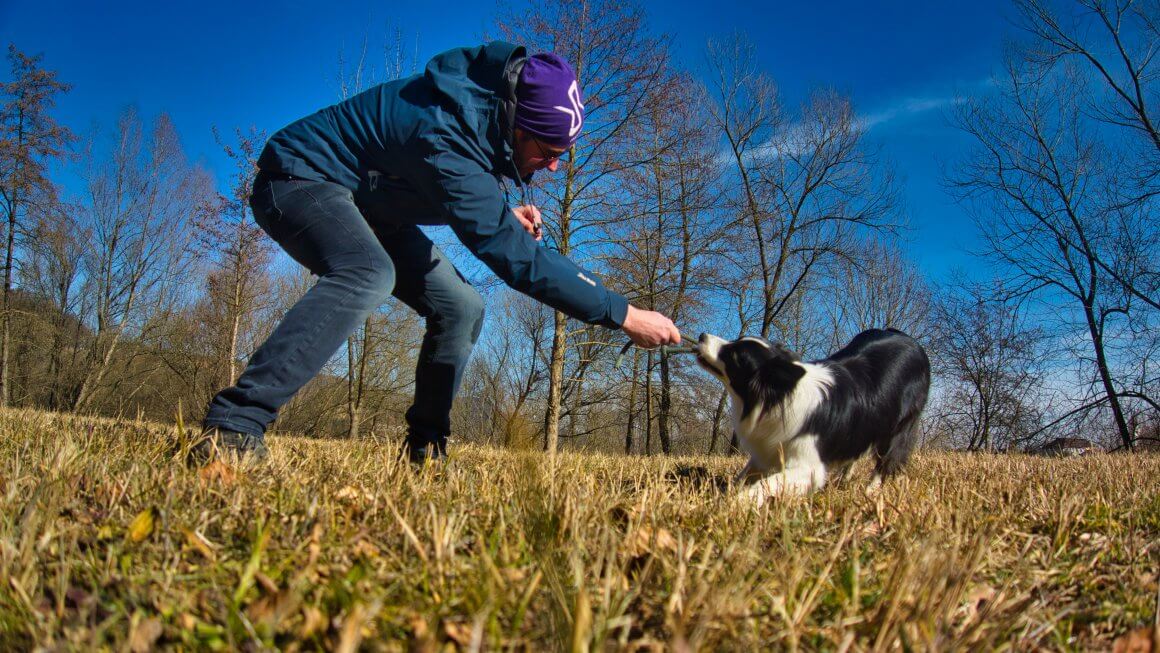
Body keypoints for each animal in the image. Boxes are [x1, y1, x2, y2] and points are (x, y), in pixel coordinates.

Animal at [691, 329, 928, 503]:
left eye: (734, 356)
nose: (702, 335)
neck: (779, 396)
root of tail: (913, 343)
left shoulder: (809, 466)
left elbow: (769, 482)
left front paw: (736, 502)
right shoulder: (768, 448)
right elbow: (746, 473)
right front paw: (725, 493)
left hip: (900, 425)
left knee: (887, 459)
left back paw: (870, 492)